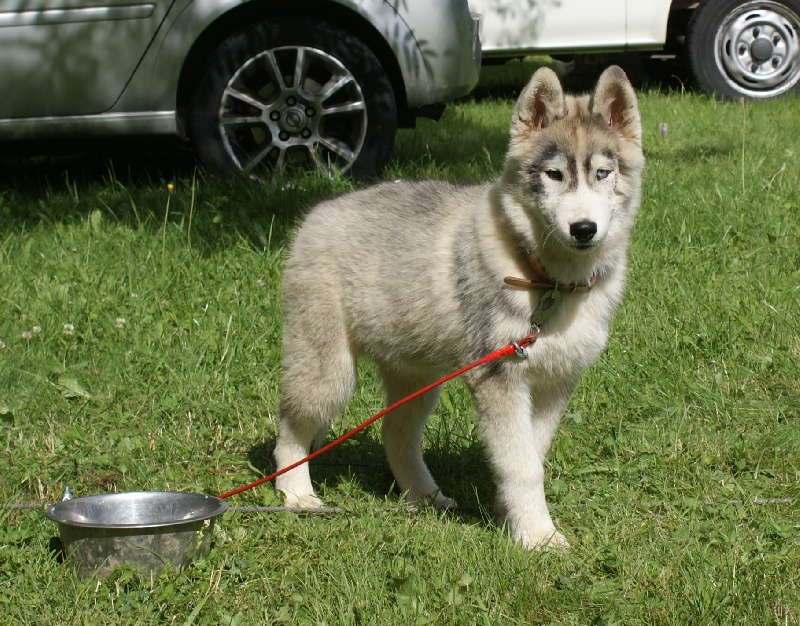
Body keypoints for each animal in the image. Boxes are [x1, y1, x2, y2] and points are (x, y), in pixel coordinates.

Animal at [273, 65, 644, 548]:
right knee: (290, 422)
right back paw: (296, 493)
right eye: (553, 174)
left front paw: (513, 517)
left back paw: (425, 497)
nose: (584, 229)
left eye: (602, 173)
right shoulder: (500, 377)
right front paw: (538, 538)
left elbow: (531, 456)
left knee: (394, 431)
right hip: (327, 370)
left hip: (418, 374)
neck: (547, 279)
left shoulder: (554, 383)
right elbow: (522, 465)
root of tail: (317, 212)